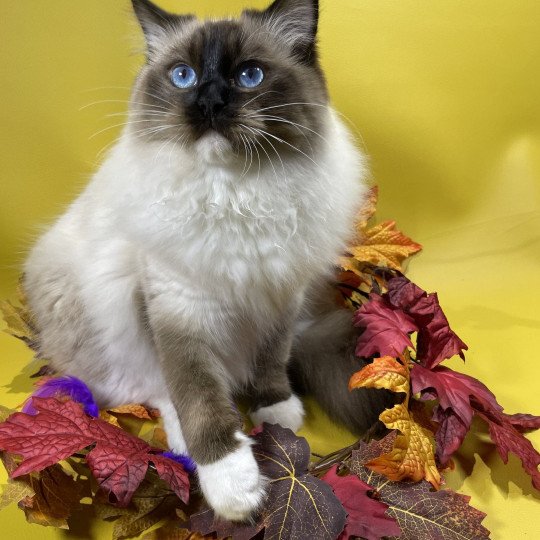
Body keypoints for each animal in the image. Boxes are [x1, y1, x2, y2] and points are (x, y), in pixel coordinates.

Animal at [23, 0, 392, 520]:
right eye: (184, 76)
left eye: (249, 75)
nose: (209, 103)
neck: (235, 195)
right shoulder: (178, 309)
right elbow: (196, 395)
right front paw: (232, 486)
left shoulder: (279, 297)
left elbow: (272, 362)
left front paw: (276, 413)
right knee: (152, 390)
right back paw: (185, 448)